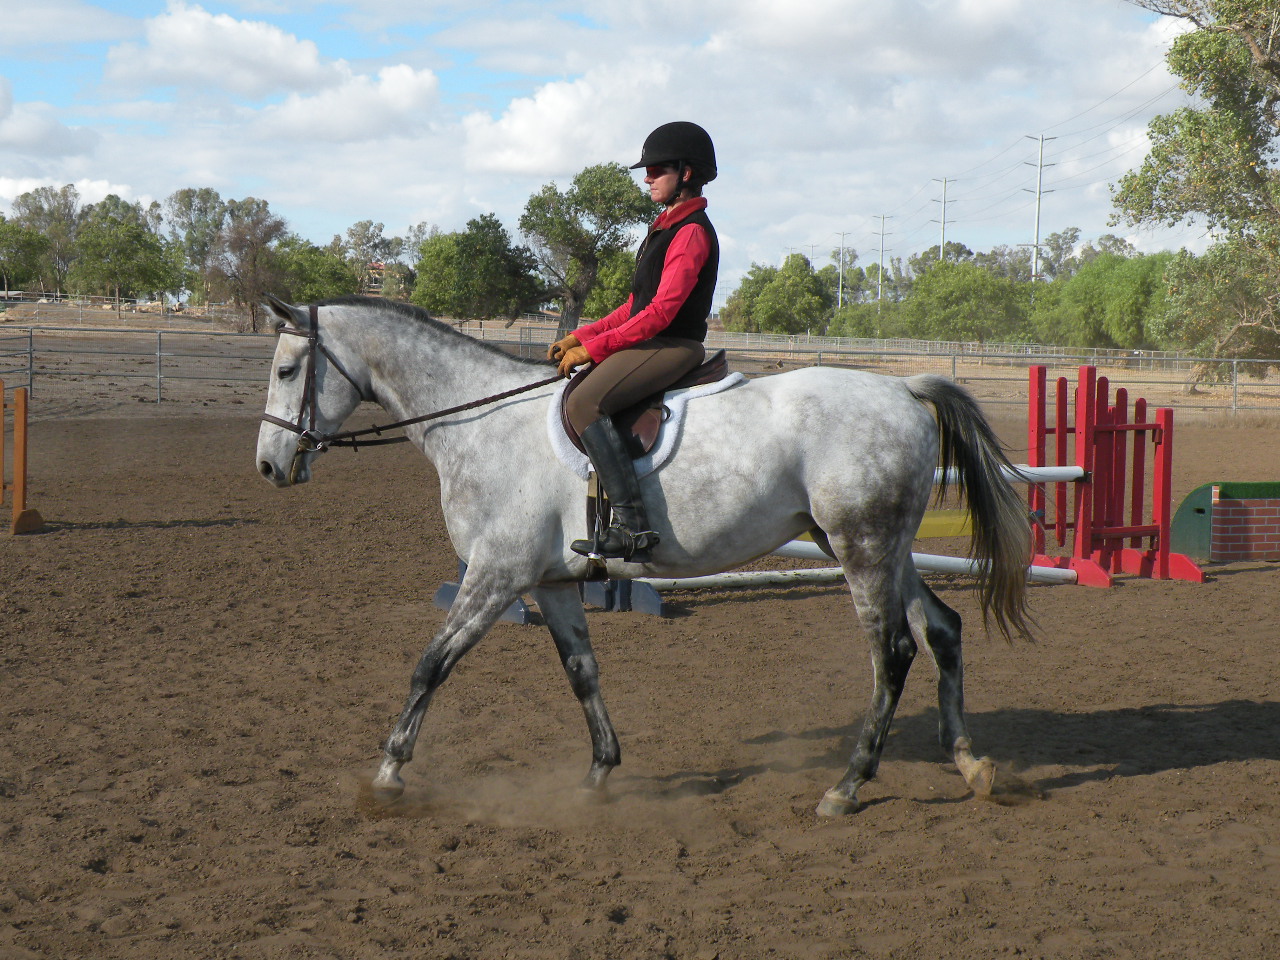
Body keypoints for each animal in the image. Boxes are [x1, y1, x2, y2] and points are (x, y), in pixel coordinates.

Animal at [254, 295, 1034, 819]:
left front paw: (388, 773)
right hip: (875, 545)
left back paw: (846, 786)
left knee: (894, 650)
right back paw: (971, 764)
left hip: (861, 546)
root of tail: (902, 386)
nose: (268, 467)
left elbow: (432, 664)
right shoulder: (551, 581)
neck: (480, 421)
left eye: (289, 369)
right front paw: (600, 773)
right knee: (941, 629)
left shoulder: (497, 574)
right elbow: (582, 672)